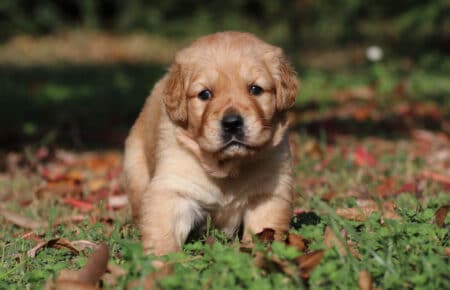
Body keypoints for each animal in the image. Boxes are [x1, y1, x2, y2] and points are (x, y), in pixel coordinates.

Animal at [123, 30, 298, 255]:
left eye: (255, 89)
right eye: (205, 94)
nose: (232, 124)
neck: (228, 168)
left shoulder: (267, 192)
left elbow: (264, 231)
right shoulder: (174, 188)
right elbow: (163, 233)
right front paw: (161, 260)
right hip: (136, 170)